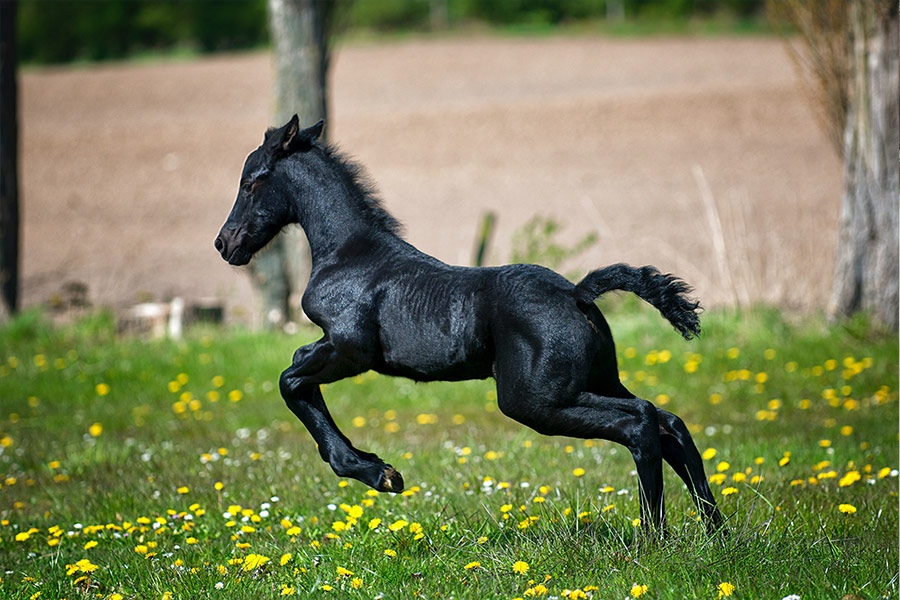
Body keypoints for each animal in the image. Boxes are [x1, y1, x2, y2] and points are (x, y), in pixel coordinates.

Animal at [215, 115, 724, 533]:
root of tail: (577, 293)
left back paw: (653, 537)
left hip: (536, 400)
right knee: (670, 423)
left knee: (640, 421)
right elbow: (298, 376)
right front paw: (376, 467)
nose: (225, 244)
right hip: (594, 380)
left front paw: (378, 473)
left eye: (250, 182)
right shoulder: (334, 348)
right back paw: (714, 532)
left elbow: (290, 379)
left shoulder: (349, 349)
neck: (349, 253)